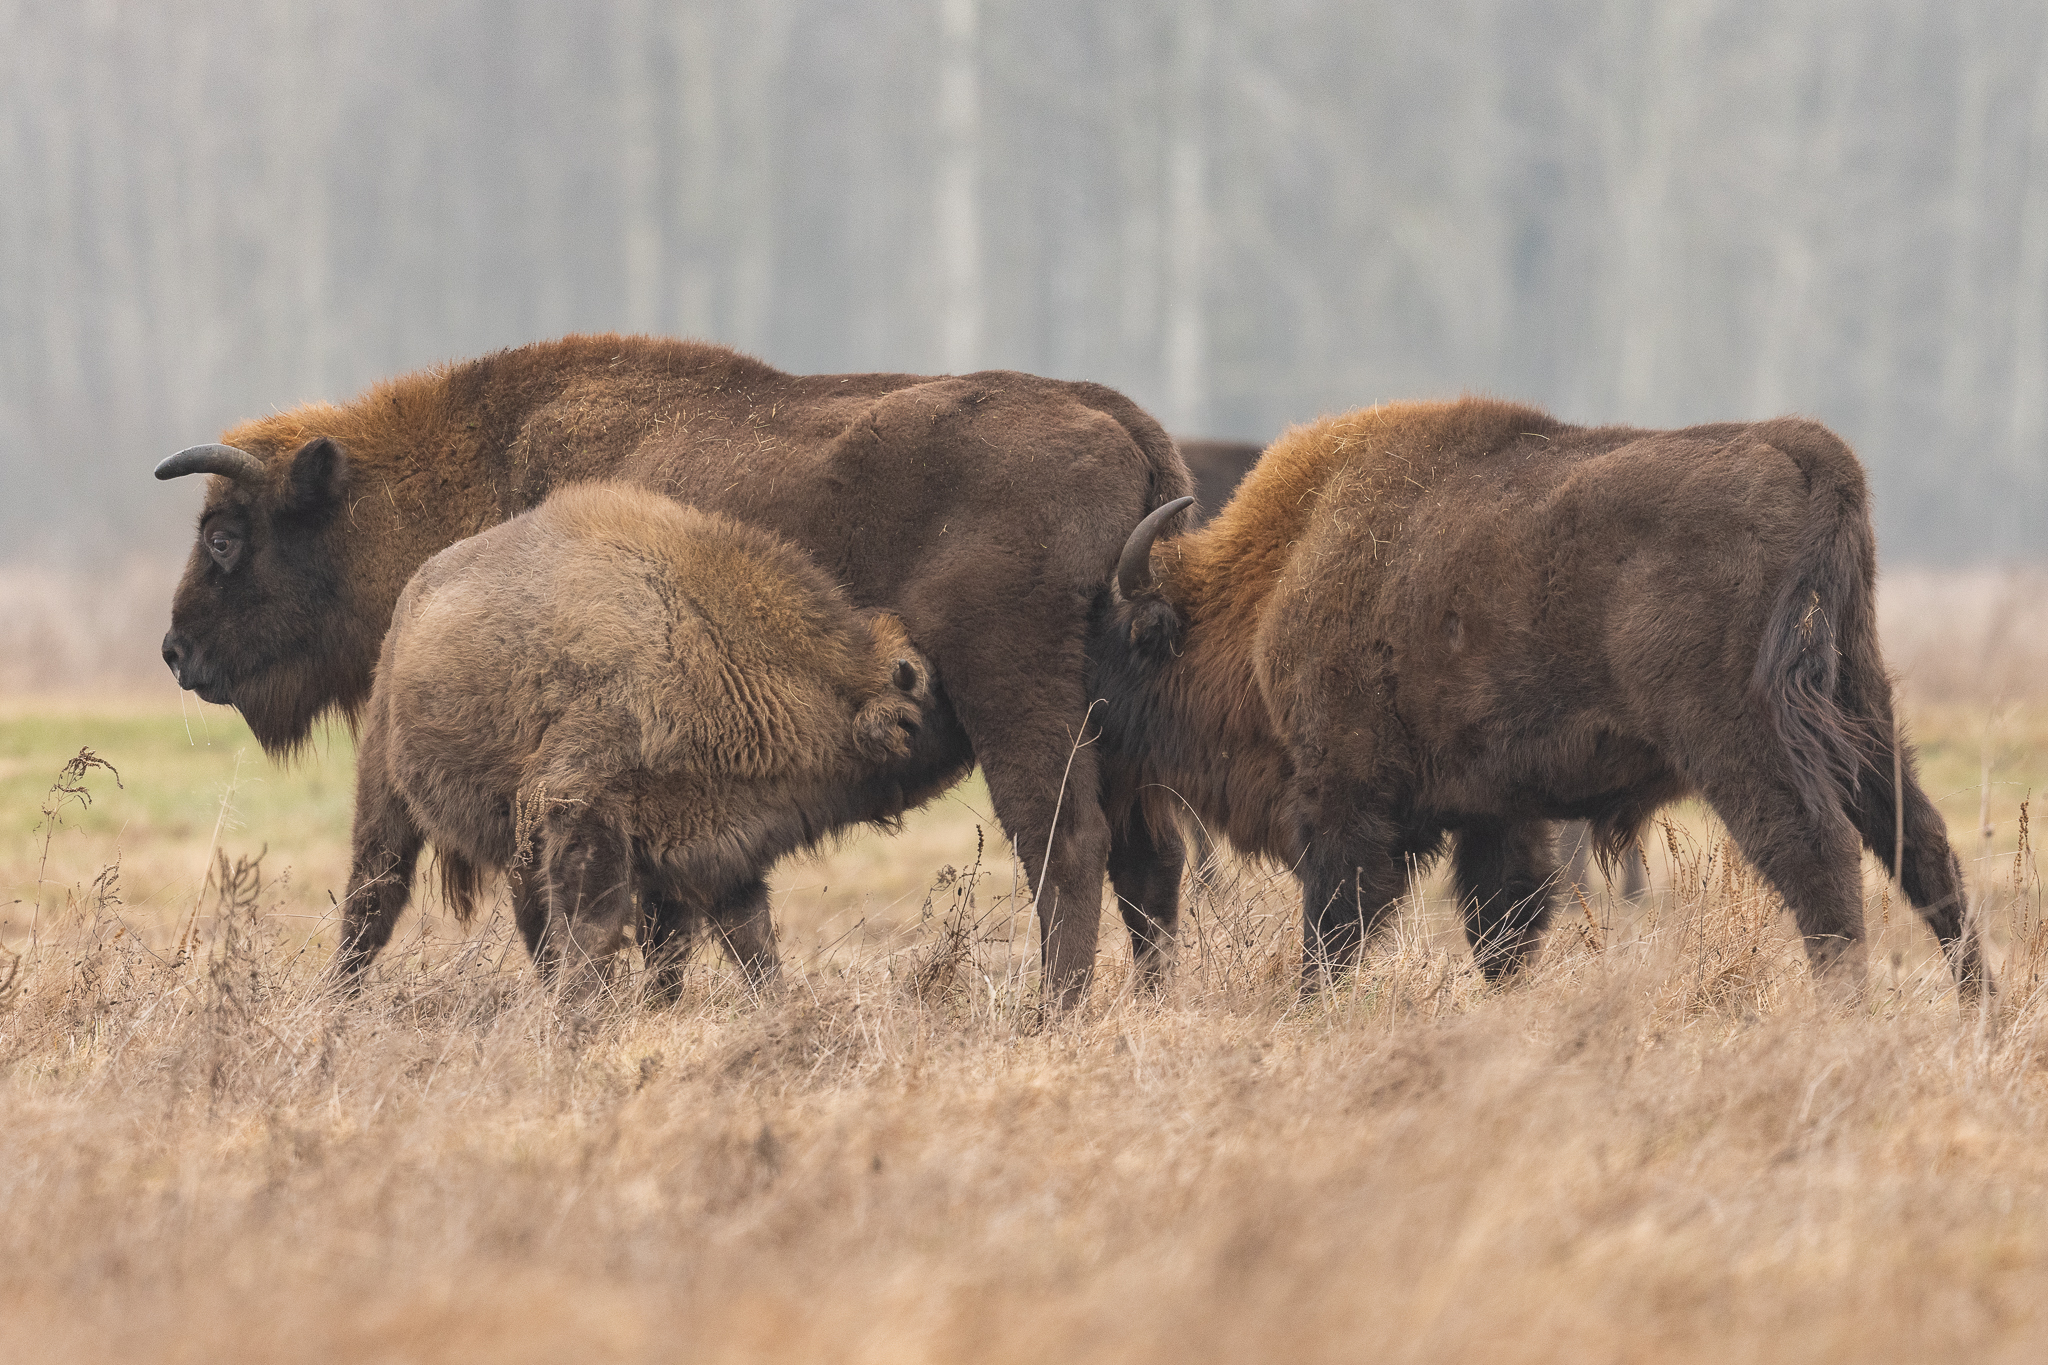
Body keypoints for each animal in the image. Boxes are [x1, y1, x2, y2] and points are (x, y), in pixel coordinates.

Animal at [335, 483, 938, 1000]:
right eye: (910, 722)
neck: (707, 640)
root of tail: (413, 597)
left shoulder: (722, 853)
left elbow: (749, 943)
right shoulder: (582, 811)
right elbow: (595, 931)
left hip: (517, 845)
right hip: (385, 797)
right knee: (374, 896)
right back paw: (339, 996)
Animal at [1096, 399, 1987, 1002]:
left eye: (1131, 641)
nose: (1096, 735)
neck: (1282, 574)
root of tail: (1803, 449)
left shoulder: (1347, 801)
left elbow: (1337, 925)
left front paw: (1310, 1008)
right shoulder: (1498, 812)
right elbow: (1502, 926)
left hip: (1742, 736)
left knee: (1817, 854)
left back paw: (1849, 1013)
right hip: (1861, 702)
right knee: (1921, 845)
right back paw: (1979, 1006)